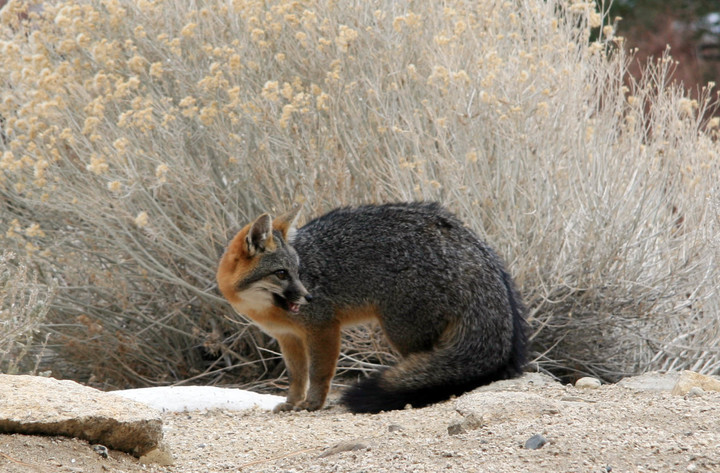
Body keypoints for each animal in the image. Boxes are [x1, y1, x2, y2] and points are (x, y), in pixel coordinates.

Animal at [217, 201, 524, 412]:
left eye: (299, 272)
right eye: (282, 274)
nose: (309, 297)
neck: (262, 309)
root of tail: (466, 238)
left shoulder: (323, 328)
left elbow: (318, 373)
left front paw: (313, 404)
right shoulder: (288, 337)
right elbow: (297, 377)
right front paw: (292, 403)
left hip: (402, 332)